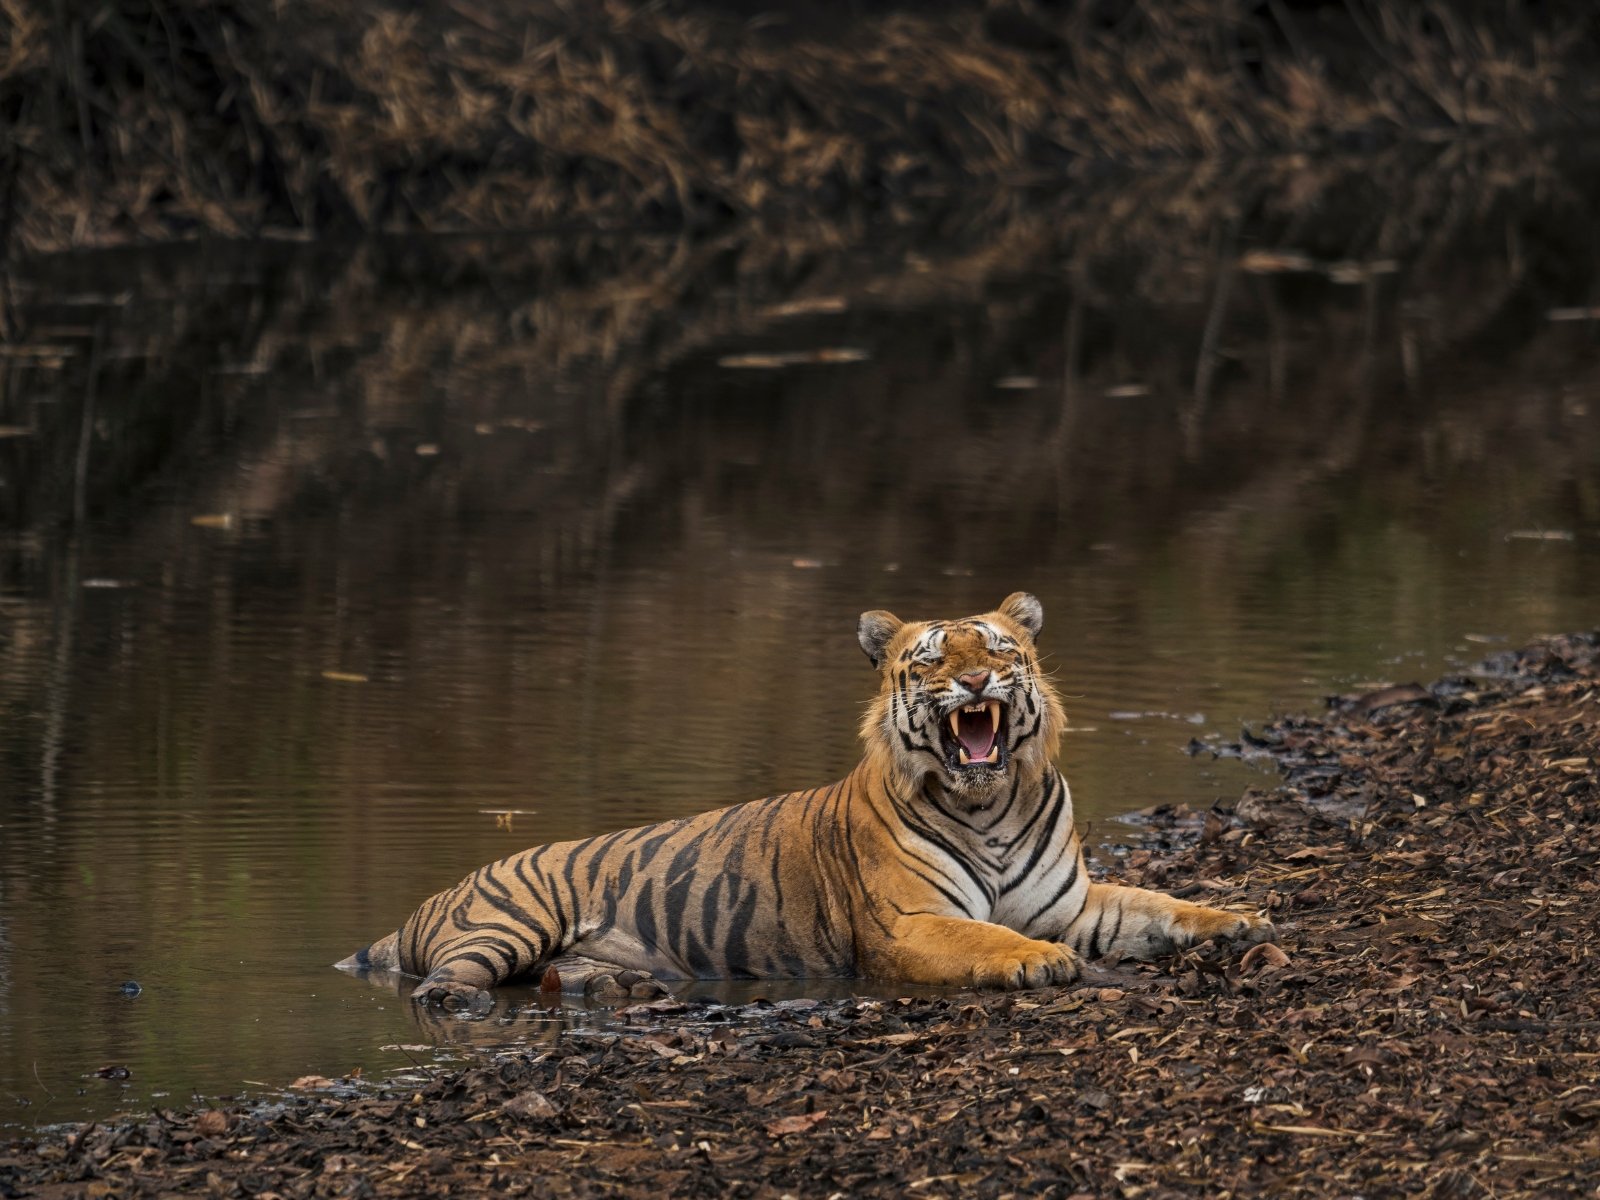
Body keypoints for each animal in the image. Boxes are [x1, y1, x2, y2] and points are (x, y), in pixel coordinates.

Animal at [338, 592, 1275, 1007]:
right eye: (935, 659)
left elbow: (1159, 905)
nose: (977, 680)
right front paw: (1034, 960)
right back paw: (459, 997)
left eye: (1000, 648)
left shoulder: (1075, 903)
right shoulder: (910, 923)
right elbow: (986, 934)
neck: (993, 804)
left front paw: (1241, 920)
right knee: (444, 981)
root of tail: (439, 893)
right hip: (509, 919)